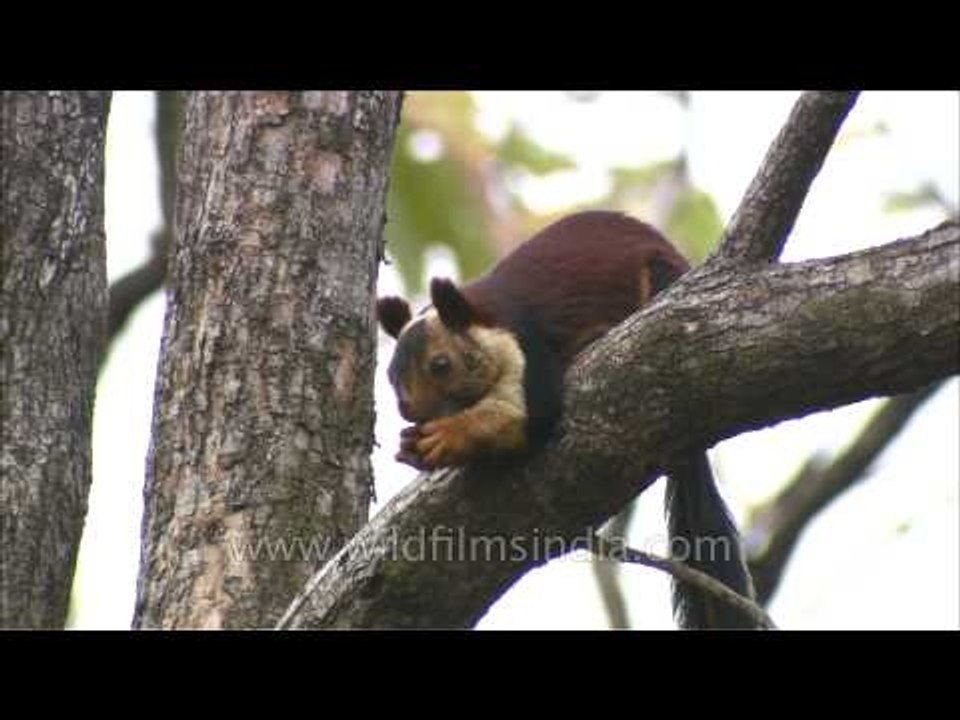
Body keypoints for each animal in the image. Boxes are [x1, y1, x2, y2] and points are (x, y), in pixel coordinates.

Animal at [376, 210, 756, 629]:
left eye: (440, 365)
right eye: (391, 375)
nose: (407, 410)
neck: (485, 317)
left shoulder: (525, 347)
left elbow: (526, 417)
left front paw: (447, 437)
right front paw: (412, 446)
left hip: (660, 279)